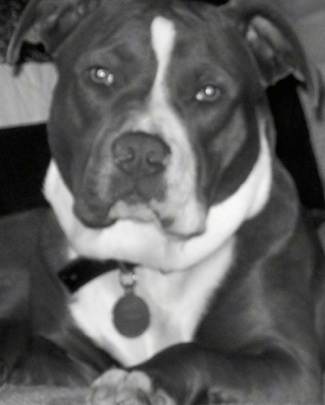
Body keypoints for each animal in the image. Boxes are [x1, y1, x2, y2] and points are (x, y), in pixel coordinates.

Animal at [3, 0, 324, 400]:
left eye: (209, 92)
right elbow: (41, 356)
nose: (141, 153)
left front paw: (136, 378)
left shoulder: (294, 367)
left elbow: (197, 353)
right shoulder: (57, 344)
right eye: (101, 75)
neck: (145, 255)